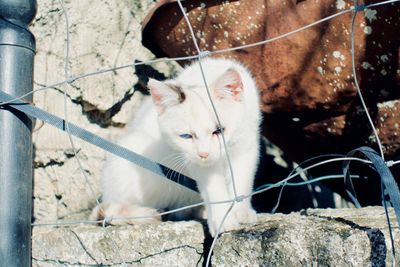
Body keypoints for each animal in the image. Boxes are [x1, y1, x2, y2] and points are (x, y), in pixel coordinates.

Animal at [92, 57, 264, 237]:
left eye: (219, 131)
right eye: (186, 136)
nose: (204, 154)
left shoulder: (246, 143)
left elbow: (241, 180)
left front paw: (240, 211)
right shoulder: (193, 160)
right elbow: (213, 187)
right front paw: (223, 219)